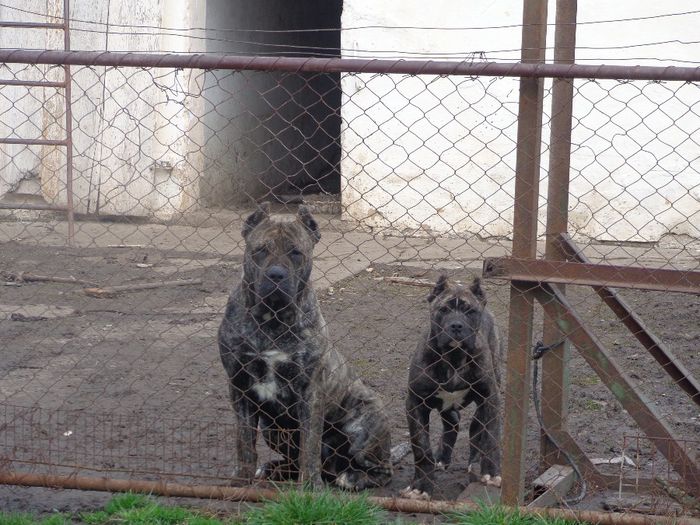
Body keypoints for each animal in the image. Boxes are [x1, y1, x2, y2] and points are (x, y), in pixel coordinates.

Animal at [219, 203, 394, 490]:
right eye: (261, 250)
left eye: (296, 253)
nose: (276, 275)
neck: (271, 319)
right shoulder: (239, 385)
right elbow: (244, 441)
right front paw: (242, 480)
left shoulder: (310, 390)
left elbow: (309, 447)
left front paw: (310, 486)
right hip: (271, 428)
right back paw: (274, 470)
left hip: (365, 422)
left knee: (379, 469)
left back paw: (352, 477)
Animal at [400, 274, 504, 500]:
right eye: (444, 310)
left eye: (470, 312)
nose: (456, 326)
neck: (454, 358)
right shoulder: (415, 403)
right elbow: (421, 448)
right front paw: (420, 486)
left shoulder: (490, 396)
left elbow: (490, 435)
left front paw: (492, 473)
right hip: (446, 403)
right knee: (453, 421)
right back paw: (442, 457)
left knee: (476, 426)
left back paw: (474, 462)